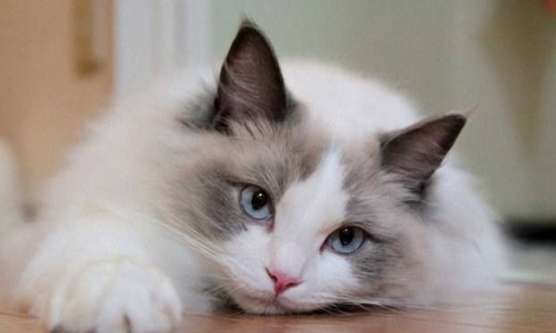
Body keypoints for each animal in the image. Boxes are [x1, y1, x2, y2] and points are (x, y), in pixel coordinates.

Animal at [0, 22, 504, 332]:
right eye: (256, 202)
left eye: (346, 239)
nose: (282, 279)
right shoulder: (114, 214)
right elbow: (109, 260)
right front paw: (120, 311)